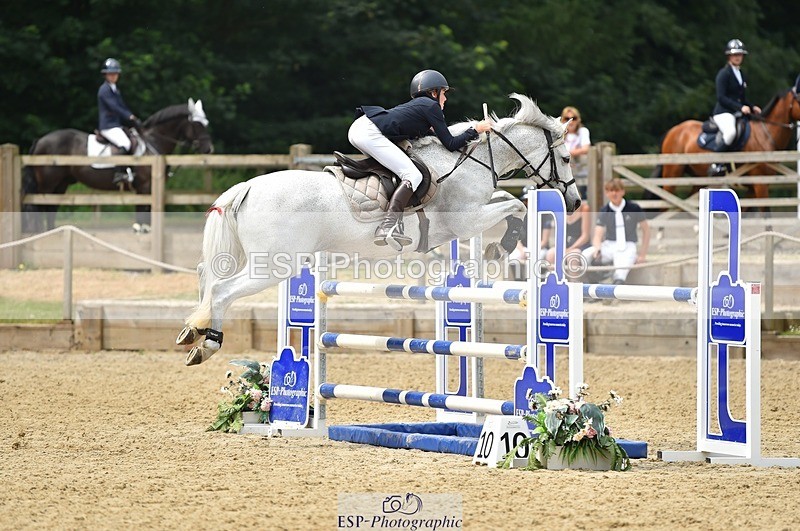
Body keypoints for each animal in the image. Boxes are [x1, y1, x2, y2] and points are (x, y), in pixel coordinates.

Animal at [23, 98, 214, 231]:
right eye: (197, 124)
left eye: (206, 124)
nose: (209, 149)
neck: (153, 142)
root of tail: (40, 140)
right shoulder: (144, 186)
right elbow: (142, 211)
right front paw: (140, 230)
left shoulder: (147, 188)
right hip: (47, 185)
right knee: (41, 207)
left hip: (60, 184)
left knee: (51, 208)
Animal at [175, 93, 581, 366]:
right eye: (565, 157)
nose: (575, 202)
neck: (472, 161)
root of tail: (246, 187)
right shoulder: (466, 220)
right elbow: (518, 205)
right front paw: (501, 247)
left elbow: (509, 200)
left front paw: (499, 246)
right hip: (274, 265)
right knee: (222, 290)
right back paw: (207, 343)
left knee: (208, 278)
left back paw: (192, 332)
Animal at [655, 87, 800, 202]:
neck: (765, 134)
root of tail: (672, 130)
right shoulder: (760, 184)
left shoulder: (754, 188)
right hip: (672, 174)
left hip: (698, 179)